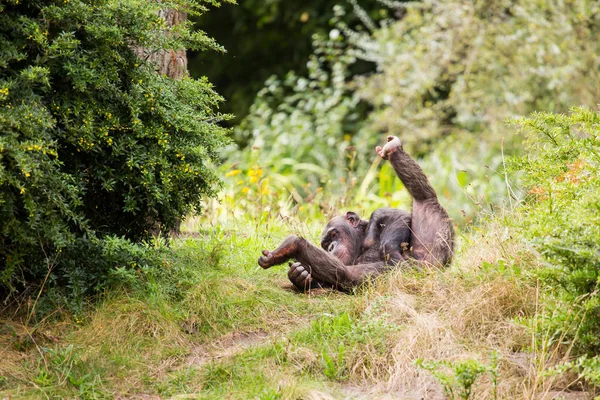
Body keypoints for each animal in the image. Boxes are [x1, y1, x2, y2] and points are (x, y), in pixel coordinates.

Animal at [256, 135, 454, 290]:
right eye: (325, 244)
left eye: (334, 235)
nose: (331, 247)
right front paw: (299, 274)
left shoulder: (378, 220)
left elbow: (397, 216)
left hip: (433, 247)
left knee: (425, 199)